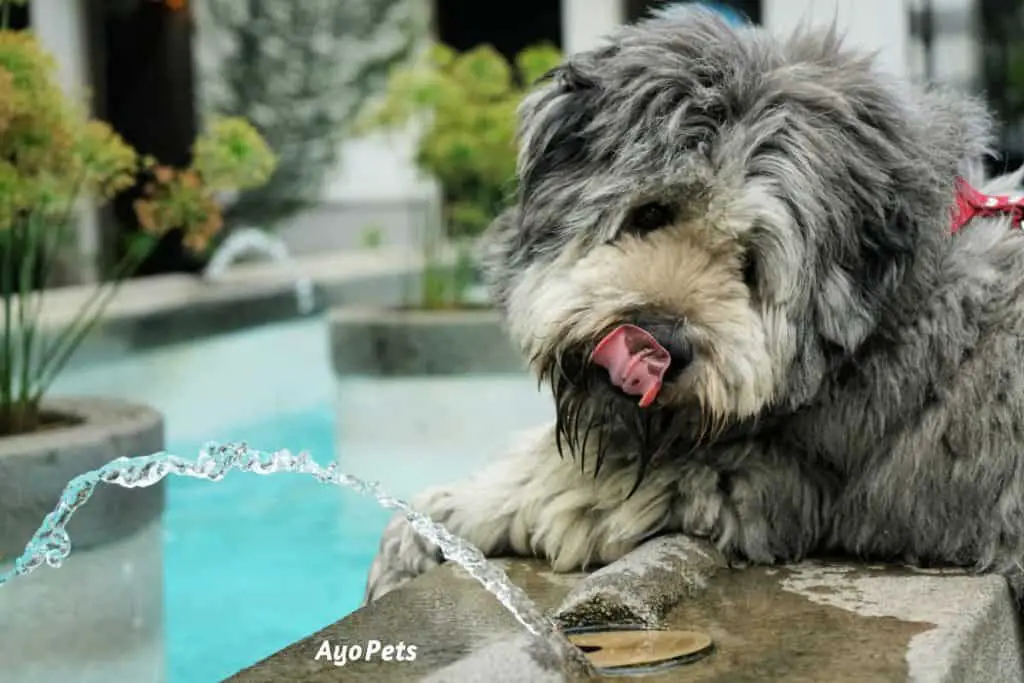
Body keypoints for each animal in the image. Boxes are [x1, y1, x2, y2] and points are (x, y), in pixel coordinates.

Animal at [362, 5, 1024, 602]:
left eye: (750, 263)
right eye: (651, 212)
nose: (658, 342)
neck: (876, 328)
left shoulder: (743, 476)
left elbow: (546, 482)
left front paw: (422, 528)